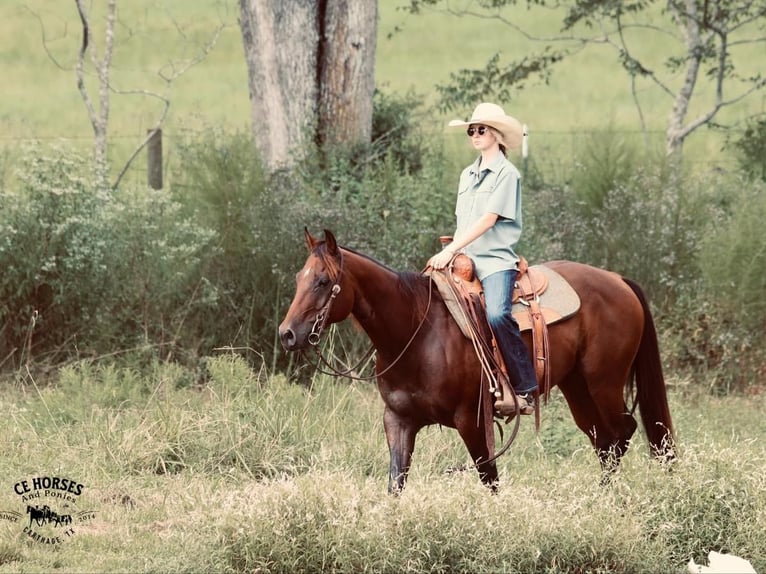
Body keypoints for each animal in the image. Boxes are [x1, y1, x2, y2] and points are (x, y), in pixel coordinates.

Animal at [280, 230, 676, 496]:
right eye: (299, 278)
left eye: (323, 281)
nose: (287, 334)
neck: (416, 331)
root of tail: (618, 280)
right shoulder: (398, 420)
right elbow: (396, 482)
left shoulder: (470, 420)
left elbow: (490, 479)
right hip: (577, 387)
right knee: (604, 440)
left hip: (603, 382)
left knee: (623, 432)